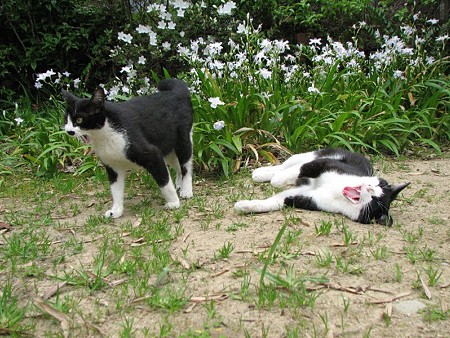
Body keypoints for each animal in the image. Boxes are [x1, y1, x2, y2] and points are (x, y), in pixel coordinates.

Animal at [62, 78, 193, 218]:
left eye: (79, 120)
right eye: (66, 120)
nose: (68, 131)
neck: (105, 134)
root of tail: (175, 91)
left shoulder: (153, 154)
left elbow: (164, 181)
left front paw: (173, 202)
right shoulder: (112, 165)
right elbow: (116, 189)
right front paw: (116, 210)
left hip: (183, 139)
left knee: (186, 164)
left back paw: (186, 190)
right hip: (167, 145)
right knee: (177, 165)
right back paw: (179, 184)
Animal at [234, 149, 410, 226]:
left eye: (375, 201)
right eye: (379, 185)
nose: (369, 187)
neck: (337, 192)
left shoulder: (307, 198)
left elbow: (277, 201)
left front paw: (244, 206)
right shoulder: (328, 164)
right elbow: (302, 169)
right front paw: (279, 179)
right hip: (315, 154)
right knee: (290, 163)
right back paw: (262, 173)